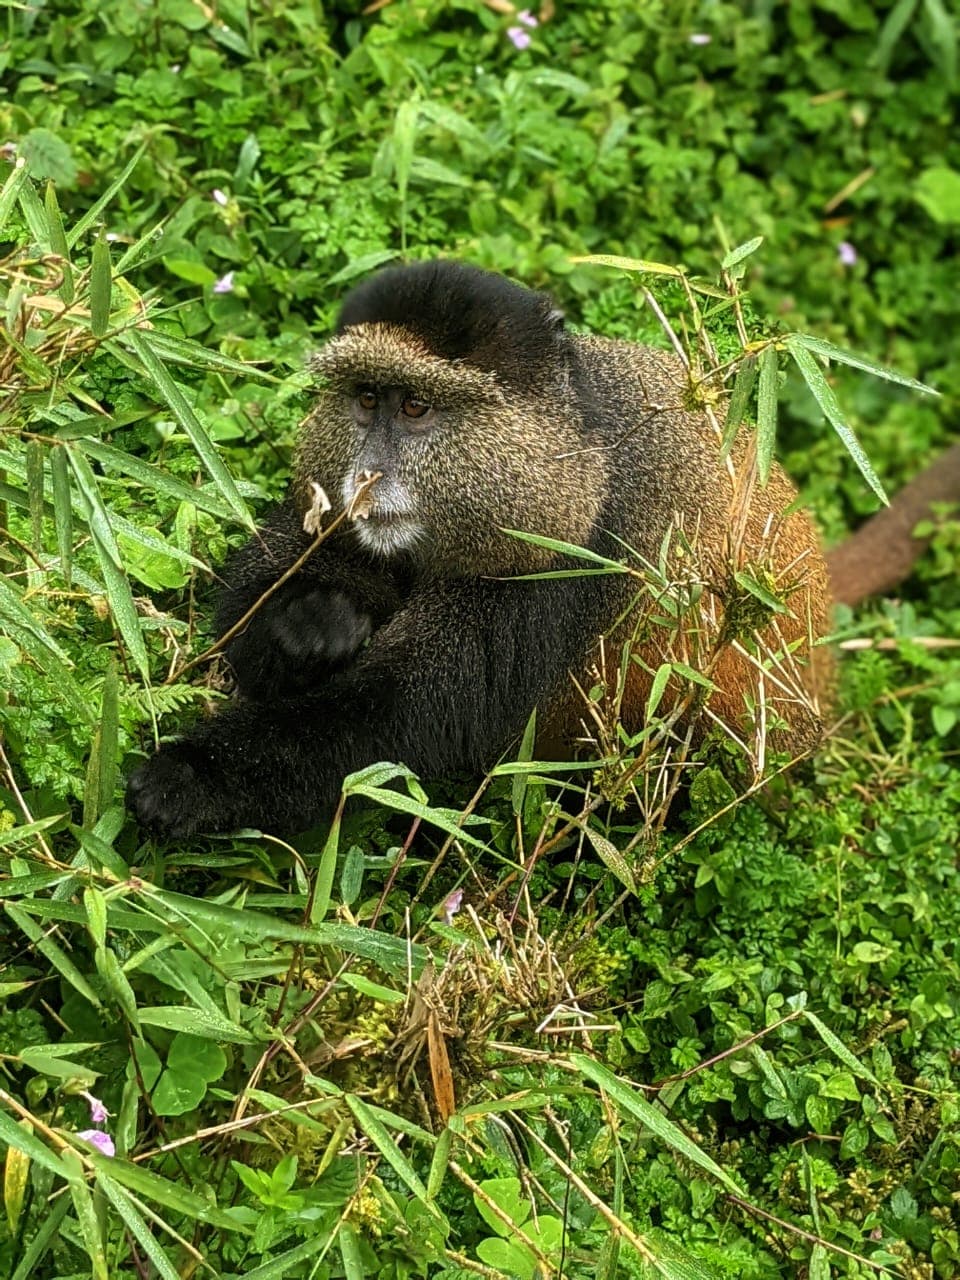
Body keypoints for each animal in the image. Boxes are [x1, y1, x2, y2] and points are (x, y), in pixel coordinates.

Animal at [126, 261, 952, 838]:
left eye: (416, 407)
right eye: (365, 399)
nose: (365, 477)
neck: (570, 456)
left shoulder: (569, 555)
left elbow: (401, 721)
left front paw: (190, 779)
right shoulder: (331, 510)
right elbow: (260, 599)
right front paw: (310, 628)